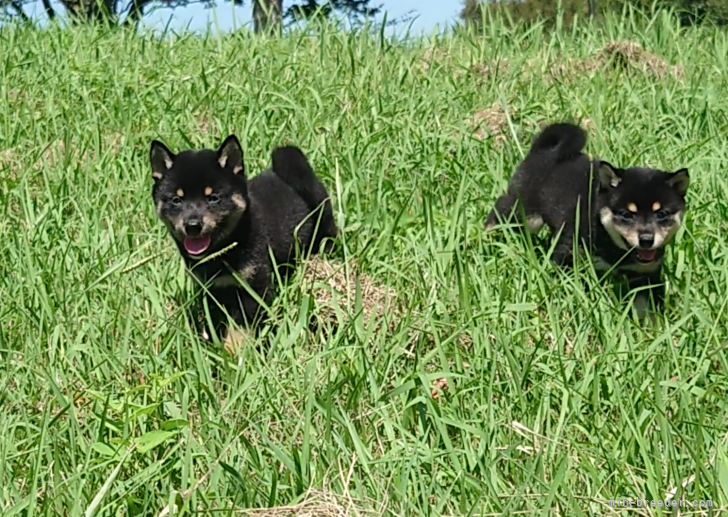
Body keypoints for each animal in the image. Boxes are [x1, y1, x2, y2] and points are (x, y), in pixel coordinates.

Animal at [153, 135, 338, 348]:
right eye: (176, 200)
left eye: (213, 198)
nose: (192, 225)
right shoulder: (211, 290)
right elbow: (217, 323)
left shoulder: (253, 286)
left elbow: (240, 327)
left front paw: (237, 351)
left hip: (323, 221)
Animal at [486, 123, 692, 320]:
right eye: (626, 214)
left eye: (662, 214)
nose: (647, 240)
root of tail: (544, 151)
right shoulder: (568, 255)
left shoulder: (644, 276)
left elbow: (646, 312)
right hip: (527, 214)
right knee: (501, 207)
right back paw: (488, 235)